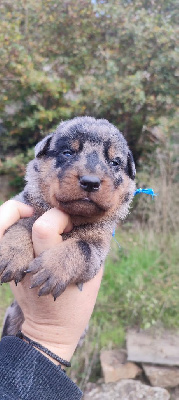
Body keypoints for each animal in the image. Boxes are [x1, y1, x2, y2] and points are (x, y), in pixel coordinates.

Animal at [0, 117, 136, 336]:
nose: (90, 182)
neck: (75, 217)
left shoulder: (98, 247)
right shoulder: (25, 205)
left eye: (114, 162)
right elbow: (20, 225)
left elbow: (80, 247)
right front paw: (13, 254)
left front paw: (53, 268)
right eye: (68, 153)